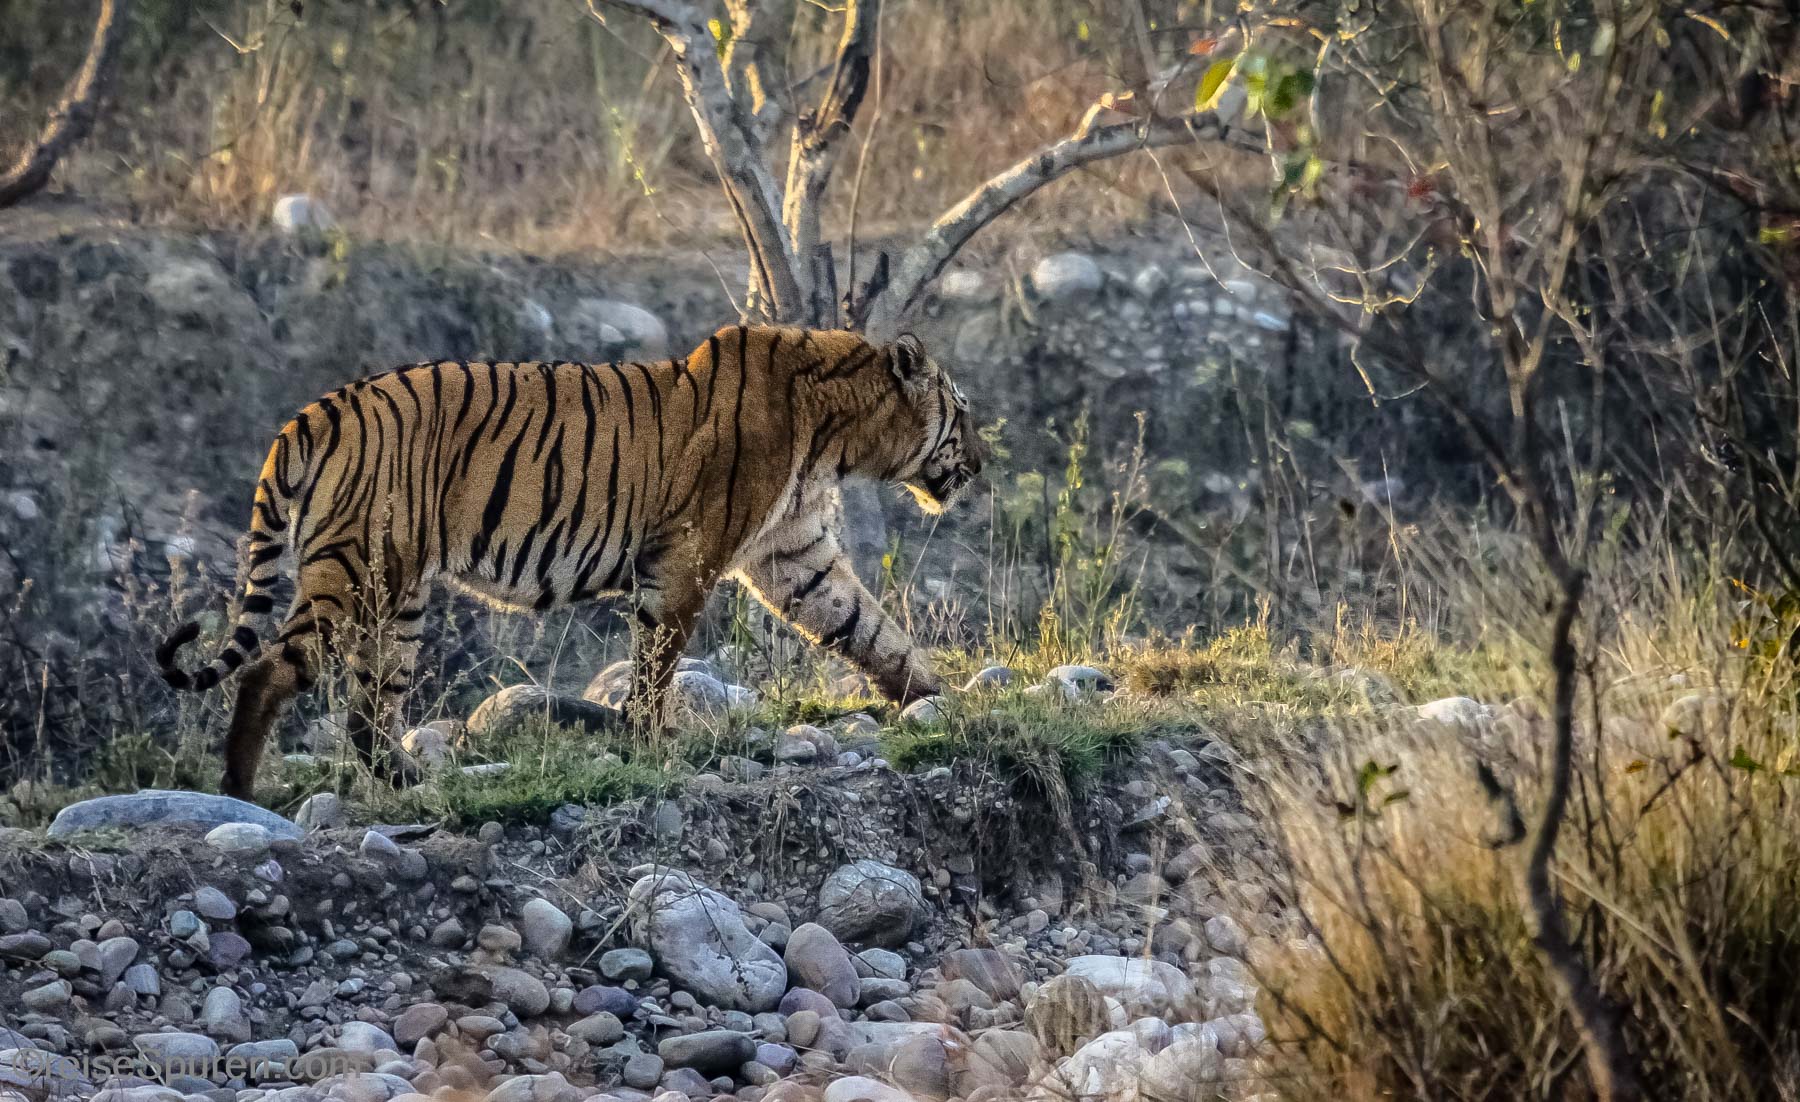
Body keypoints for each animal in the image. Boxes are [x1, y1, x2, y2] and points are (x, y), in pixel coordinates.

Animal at [156, 324, 985, 801]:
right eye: (965, 413)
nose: (980, 464)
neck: (839, 435)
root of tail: (319, 408)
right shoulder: (688, 555)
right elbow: (657, 660)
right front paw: (652, 747)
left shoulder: (796, 553)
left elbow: (868, 627)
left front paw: (931, 699)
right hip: (356, 569)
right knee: (270, 670)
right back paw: (238, 790)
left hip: (400, 596)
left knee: (367, 711)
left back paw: (410, 780)